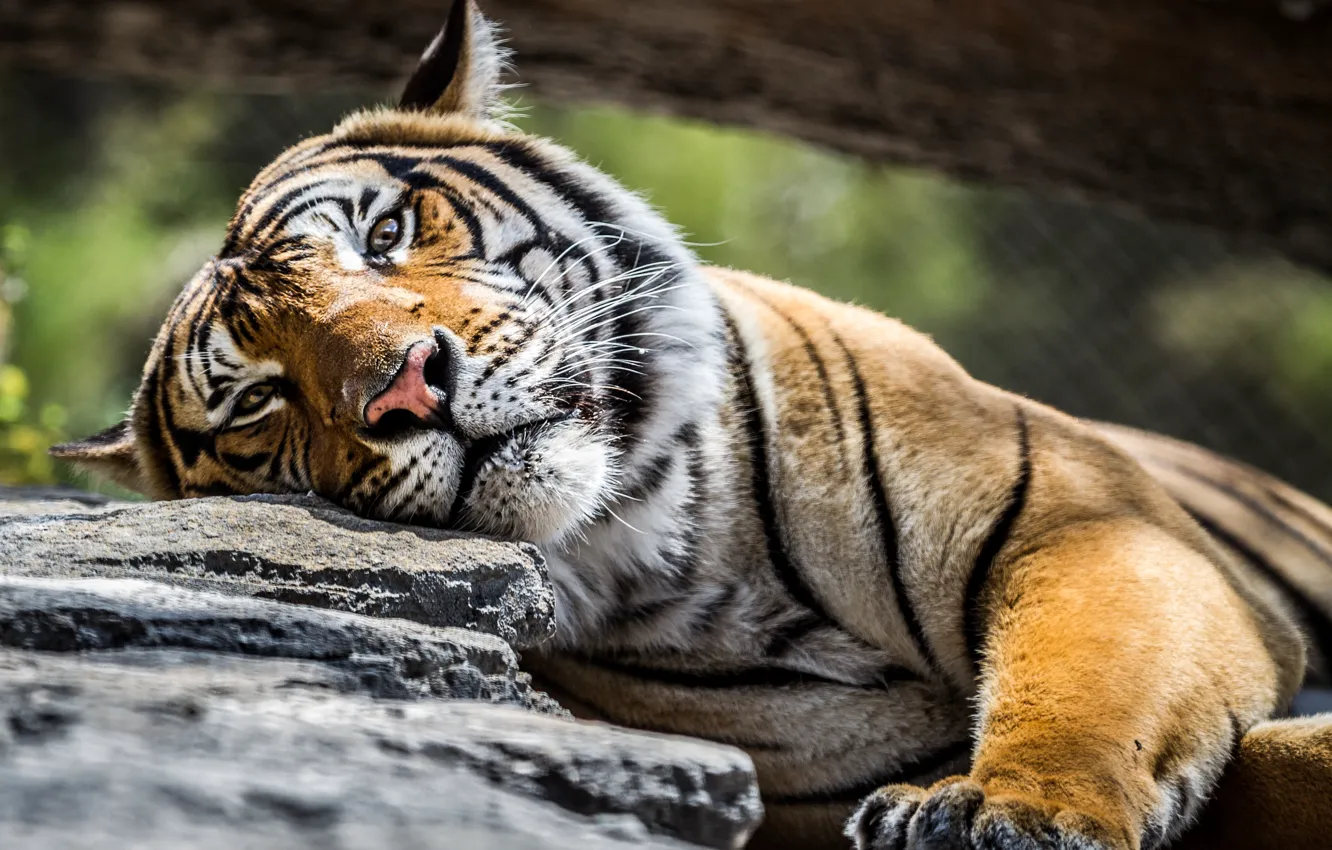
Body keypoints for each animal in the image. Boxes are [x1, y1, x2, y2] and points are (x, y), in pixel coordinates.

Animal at [51, 2, 1332, 848]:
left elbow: (1089, 680)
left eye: (385, 235)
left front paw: (1006, 808)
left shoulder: (1085, 524)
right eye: (261, 397)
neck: (677, 533)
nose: (410, 388)